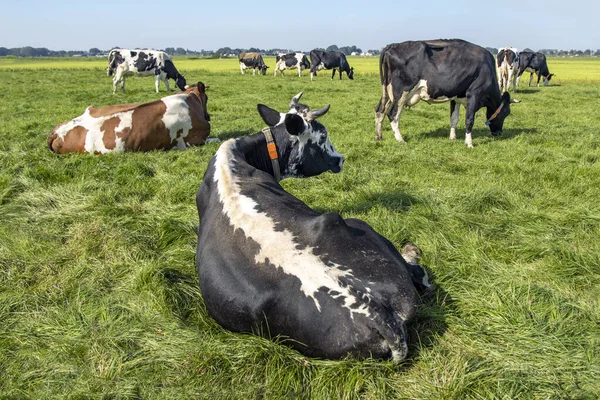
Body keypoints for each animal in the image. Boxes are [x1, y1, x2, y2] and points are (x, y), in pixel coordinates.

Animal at [197, 94, 432, 362]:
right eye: (322, 137)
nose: (340, 158)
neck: (235, 159)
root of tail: (376, 312)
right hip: (362, 226)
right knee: (419, 274)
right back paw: (411, 251)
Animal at [376, 39, 516, 148]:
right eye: (506, 113)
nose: (499, 133)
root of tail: (392, 45)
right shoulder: (474, 94)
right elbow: (469, 120)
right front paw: (469, 143)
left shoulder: (456, 96)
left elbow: (454, 118)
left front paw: (452, 137)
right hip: (402, 92)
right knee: (392, 114)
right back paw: (401, 140)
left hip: (387, 92)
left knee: (379, 110)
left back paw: (379, 137)